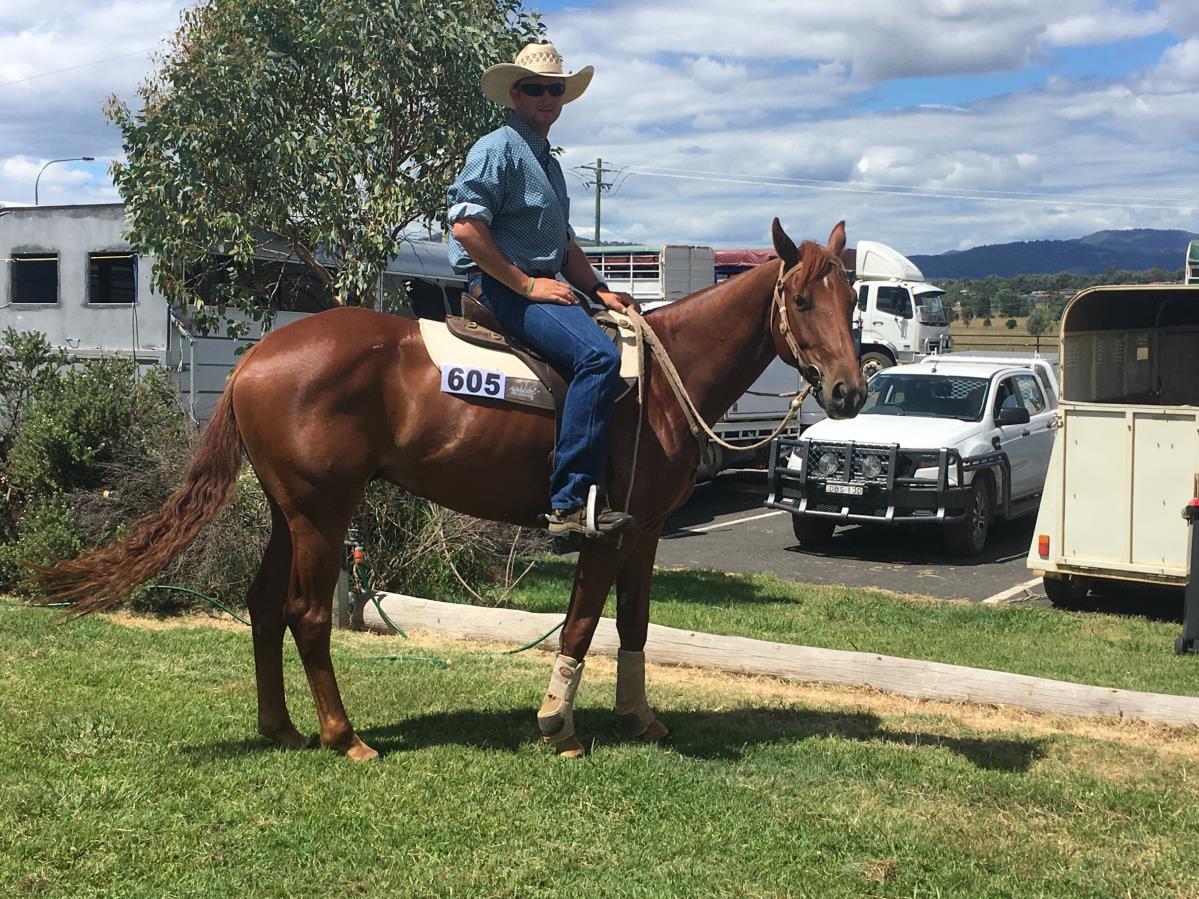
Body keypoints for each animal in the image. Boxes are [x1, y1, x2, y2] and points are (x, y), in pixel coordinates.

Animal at [33, 218, 865, 761]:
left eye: (852, 298)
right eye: (800, 298)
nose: (849, 390)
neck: (660, 380)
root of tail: (255, 358)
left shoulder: (647, 529)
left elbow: (633, 624)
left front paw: (640, 717)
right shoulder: (601, 532)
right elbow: (579, 626)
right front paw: (557, 726)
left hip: (286, 509)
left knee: (263, 605)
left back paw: (283, 728)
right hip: (322, 512)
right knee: (307, 613)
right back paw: (344, 735)